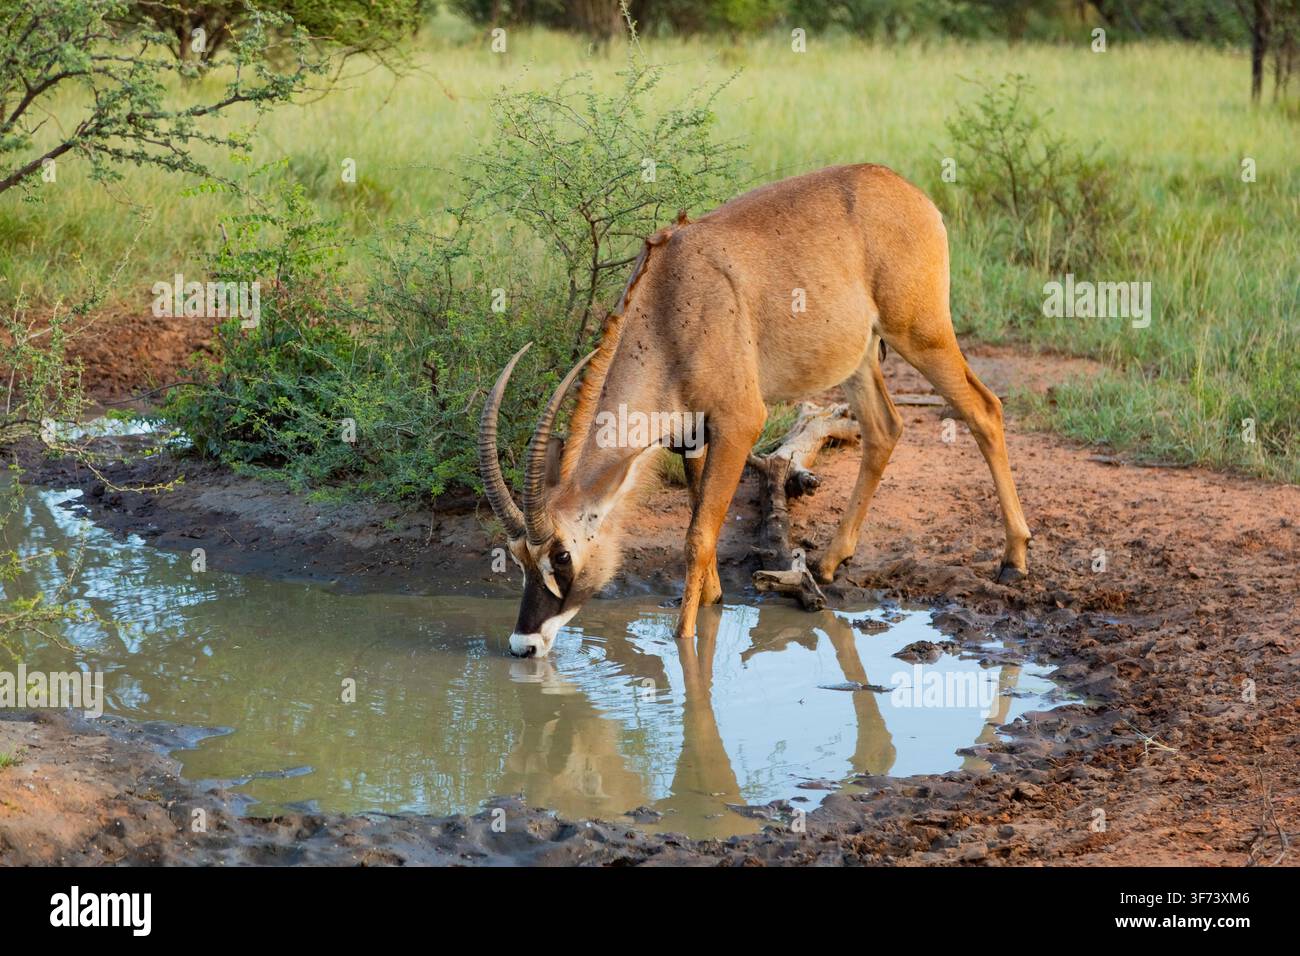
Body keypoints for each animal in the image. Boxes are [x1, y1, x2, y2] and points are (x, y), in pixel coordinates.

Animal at [479, 164, 1031, 657]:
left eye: (561, 554)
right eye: (517, 557)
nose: (524, 644)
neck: (669, 301)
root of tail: (912, 195)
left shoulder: (741, 422)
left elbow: (697, 534)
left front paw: (685, 637)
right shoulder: (694, 432)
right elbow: (699, 514)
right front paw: (713, 598)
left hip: (921, 333)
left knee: (984, 410)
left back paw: (1014, 560)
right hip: (858, 359)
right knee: (884, 429)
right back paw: (829, 562)